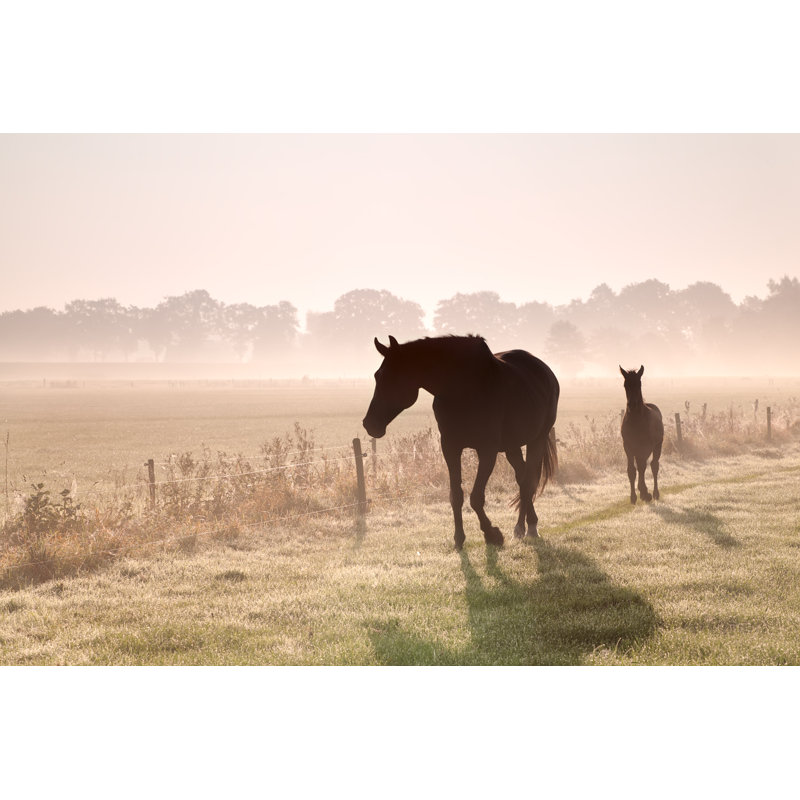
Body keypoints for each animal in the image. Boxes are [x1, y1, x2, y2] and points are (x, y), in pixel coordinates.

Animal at [363, 335, 559, 550]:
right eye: (377, 376)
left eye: (393, 377)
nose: (369, 424)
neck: (462, 388)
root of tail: (545, 371)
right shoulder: (450, 447)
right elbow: (456, 496)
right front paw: (459, 538)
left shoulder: (487, 450)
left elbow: (476, 498)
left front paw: (492, 534)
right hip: (512, 447)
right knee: (522, 478)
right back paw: (522, 527)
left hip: (537, 440)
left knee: (527, 482)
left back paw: (528, 527)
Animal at [619, 365, 664, 504]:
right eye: (625, 385)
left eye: (639, 383)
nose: (632, 404)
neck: (636, 421)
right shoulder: (628, 446)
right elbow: (632, 470)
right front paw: (633, 497)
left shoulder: (645, 447)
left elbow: (643, 467)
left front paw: (645, 493)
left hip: (657, 445)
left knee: (653, 465)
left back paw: (654, 493)